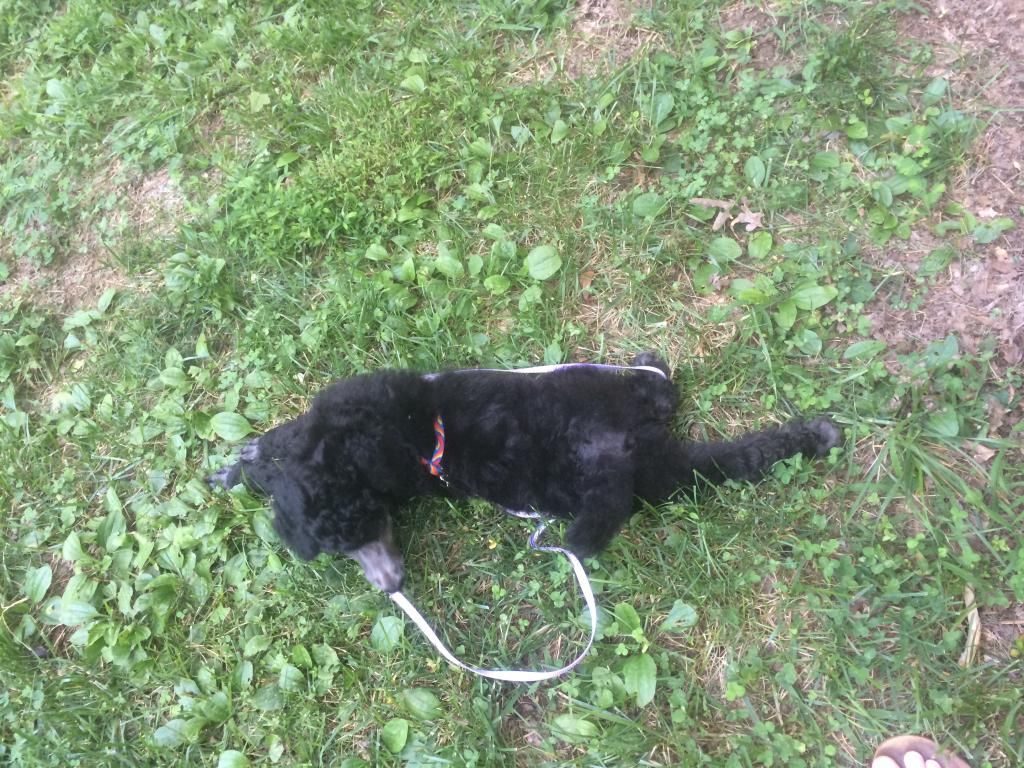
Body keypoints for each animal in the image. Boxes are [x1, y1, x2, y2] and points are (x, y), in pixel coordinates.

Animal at [209, 353, 841, 592]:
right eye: (342, 550)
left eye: (370, 527)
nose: (392, 587)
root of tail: (616, 450)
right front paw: (245, 466)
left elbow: (283, 439)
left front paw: (248, 462)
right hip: (627, 441)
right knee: (680, 423)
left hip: (585, 404)